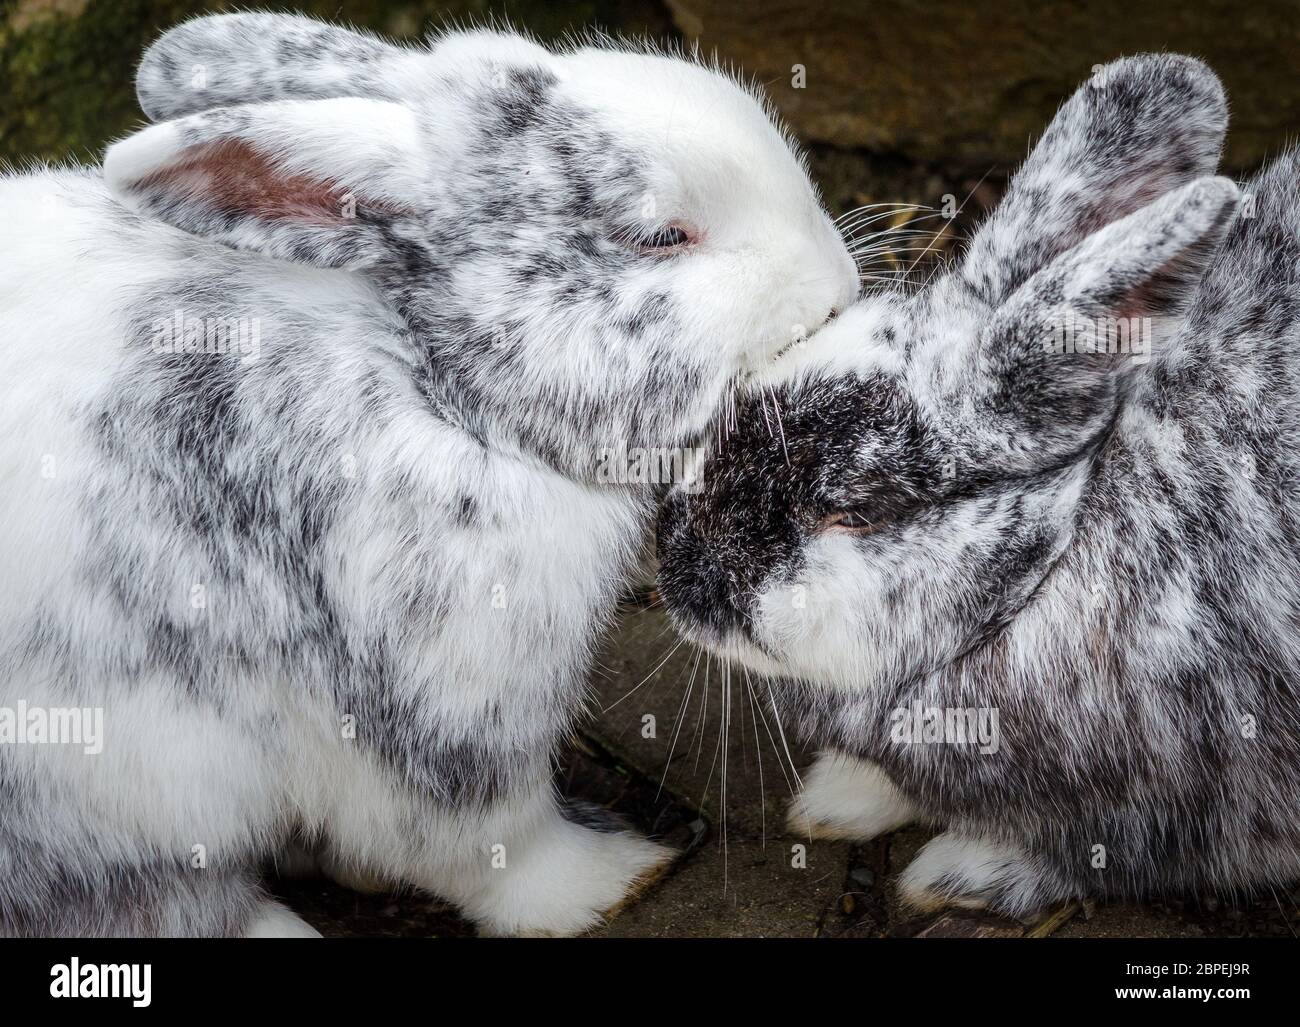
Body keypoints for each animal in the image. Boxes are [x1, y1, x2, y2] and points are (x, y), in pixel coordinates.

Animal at [0, 12, 857, 937]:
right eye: (661, 236)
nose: (840, 287)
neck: (430, 382)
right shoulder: (433, 709)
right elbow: (489, 842)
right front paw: (614, 876)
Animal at [655, 52, 1300, 919]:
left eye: (851, 513)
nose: (675, 569)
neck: (1058, 548)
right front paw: (838, 799)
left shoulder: (1201, 809)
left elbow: (1097, 856)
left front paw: (955, 872)